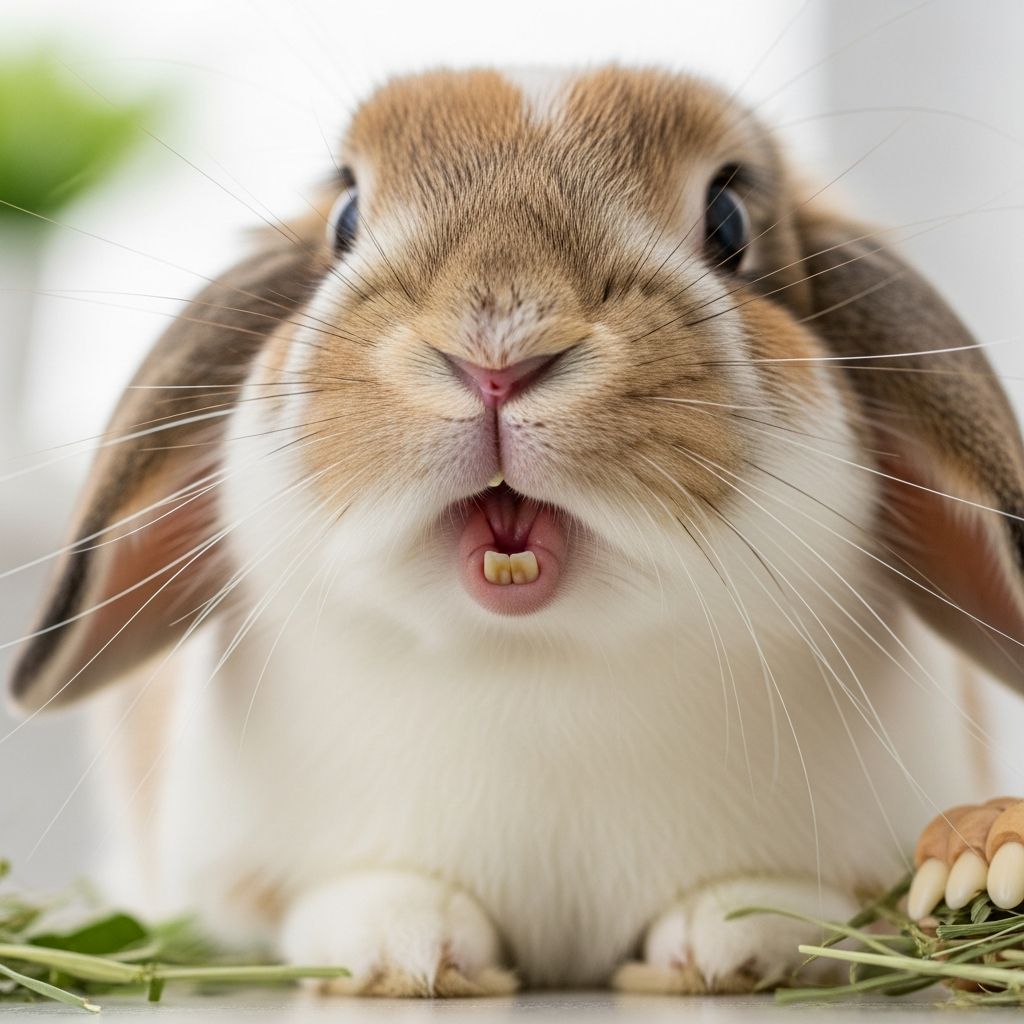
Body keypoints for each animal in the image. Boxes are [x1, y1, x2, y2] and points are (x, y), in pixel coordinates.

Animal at [9, 65, 1024, 996]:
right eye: (345, 219)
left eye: (730, 221)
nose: (495, 352)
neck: (535, 659)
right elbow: (328, 903)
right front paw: (404, 945)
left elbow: (799, 906)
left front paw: (736, 933)